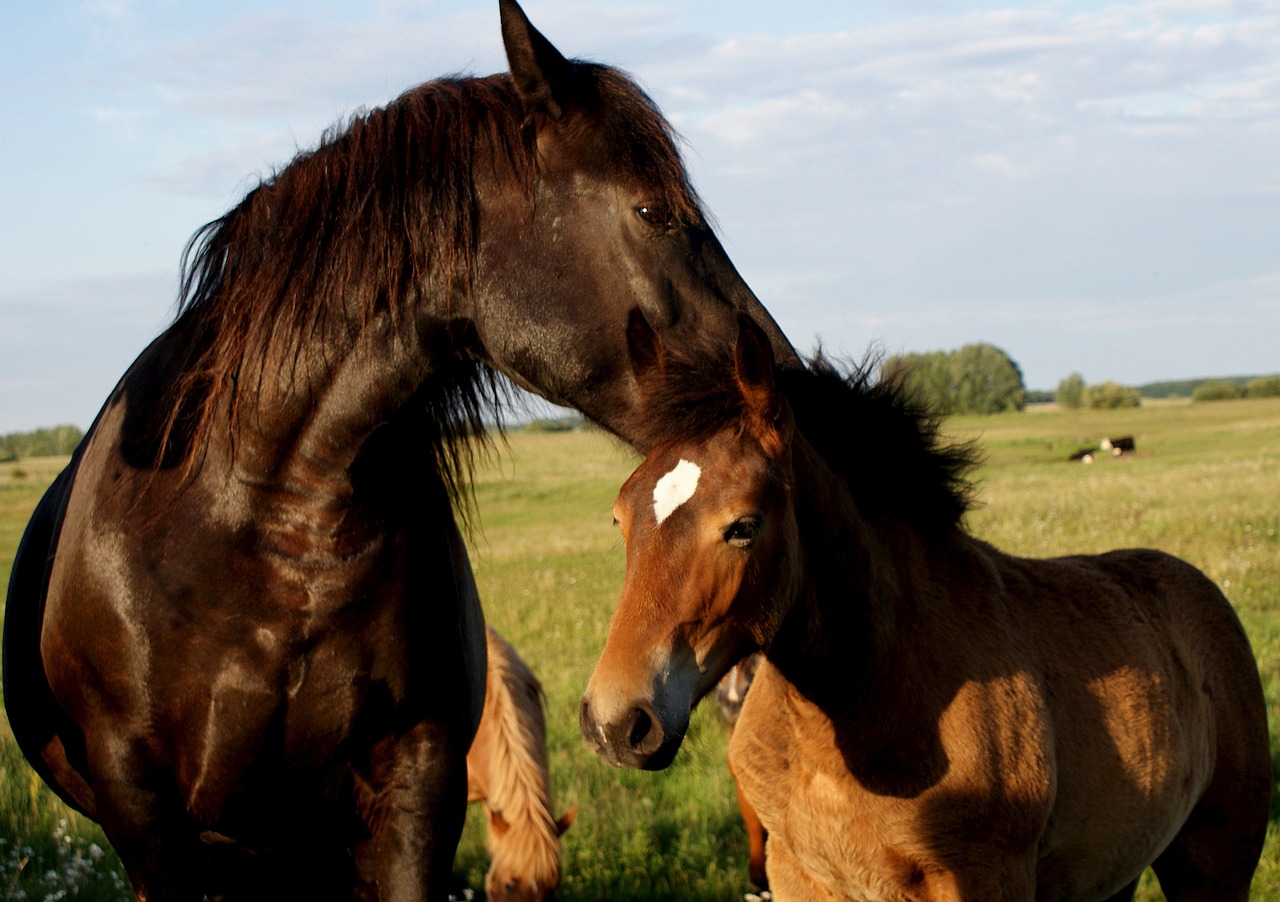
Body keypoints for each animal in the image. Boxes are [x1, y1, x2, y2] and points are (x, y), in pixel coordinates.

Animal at [583, 314, 1269, 900]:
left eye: (743, 527)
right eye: (619, 517)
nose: (617, 723)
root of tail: (1200, 588)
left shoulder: (983, 878)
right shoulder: (796, 871)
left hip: (1214, 864)